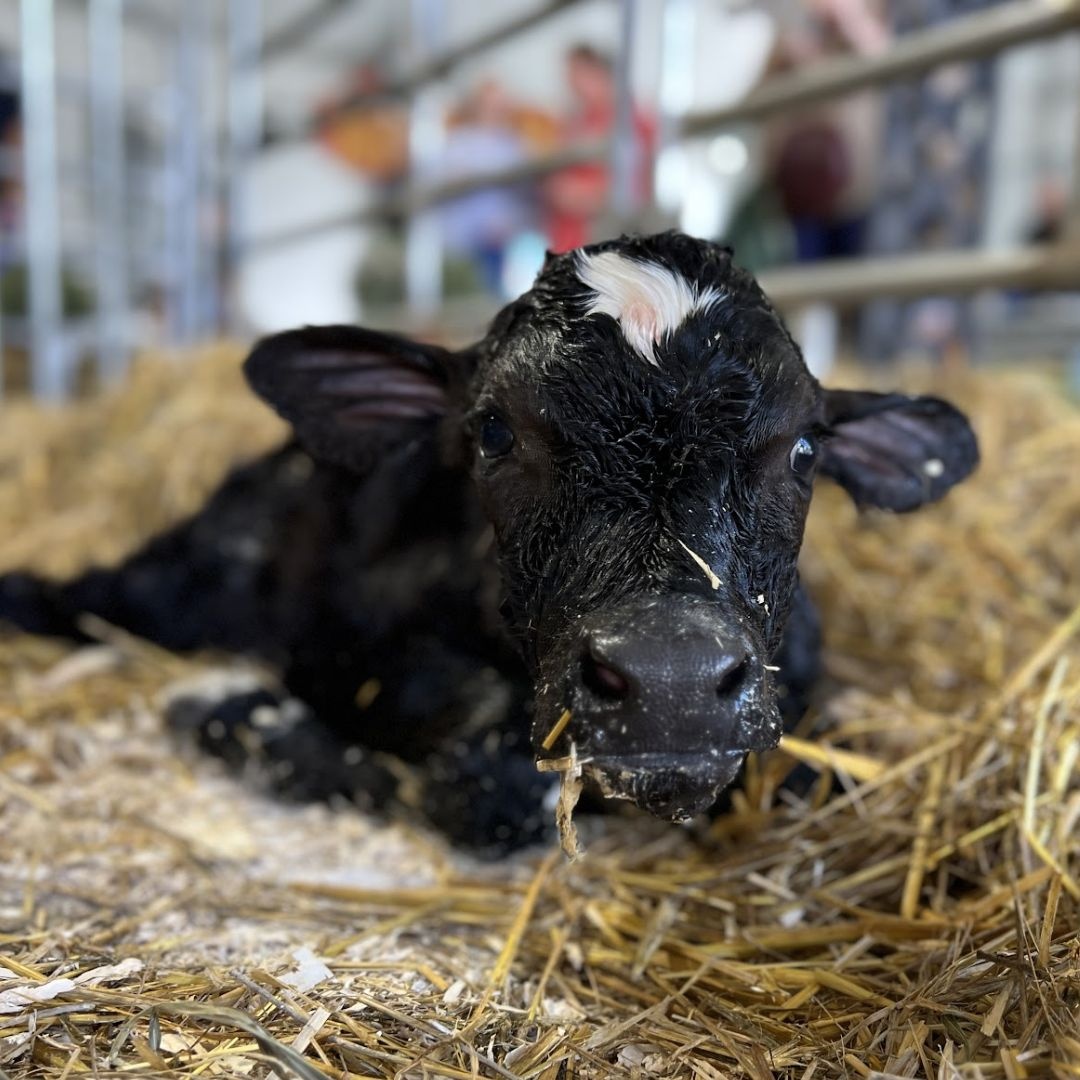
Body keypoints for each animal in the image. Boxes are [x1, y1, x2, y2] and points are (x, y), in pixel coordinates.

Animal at [0, 233, 978, 851]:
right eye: (495, 433)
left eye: (805, 447)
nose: (671, 682)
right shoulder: (364, 651)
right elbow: (484, 781)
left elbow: (828, 775)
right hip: (182, 576)